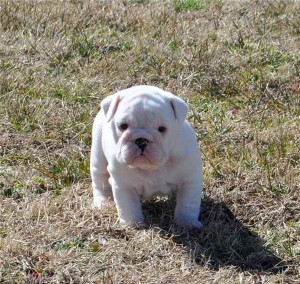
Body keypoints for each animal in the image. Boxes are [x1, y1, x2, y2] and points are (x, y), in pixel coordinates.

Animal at [91, 85, 204, 229]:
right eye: (123, 126)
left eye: (162, 129)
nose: (141, 139)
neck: (152, 168)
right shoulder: (124, 186)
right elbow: (128, 207)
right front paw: (132, 225)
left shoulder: (189, 180)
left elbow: (188, 205)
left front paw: (187, 223)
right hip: (97, 155)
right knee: (100, 180)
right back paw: (103, 202)